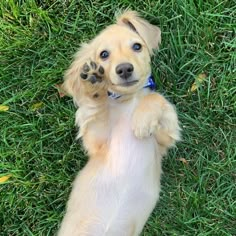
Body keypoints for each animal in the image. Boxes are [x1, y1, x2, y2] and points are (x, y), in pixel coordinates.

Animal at [57, 10, 181, 235]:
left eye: (137, 46)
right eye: (104, 54)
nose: (124, 69)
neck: (128, 101)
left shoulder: (164, 139)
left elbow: (155, 98)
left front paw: (142, 121)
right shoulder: (97, 141)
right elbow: (95, 109)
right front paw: (92, 85)